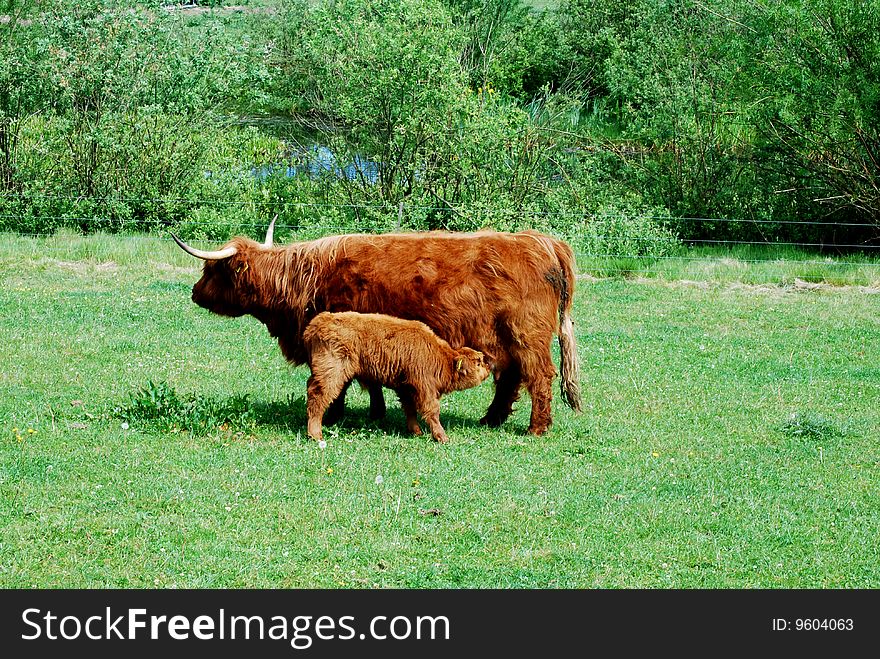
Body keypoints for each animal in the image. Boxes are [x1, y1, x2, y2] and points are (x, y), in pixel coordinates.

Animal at [304, 314, 496, 446]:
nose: (489, 366)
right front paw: (441, 437)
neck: (440, 358)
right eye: (478, 362)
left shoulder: (406, 387)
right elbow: (432, 411)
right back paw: (315, 434)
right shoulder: (425, 387)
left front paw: (416, 431)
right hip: (331, 374)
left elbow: (410, 409)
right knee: (318, 398)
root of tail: (320, 321)